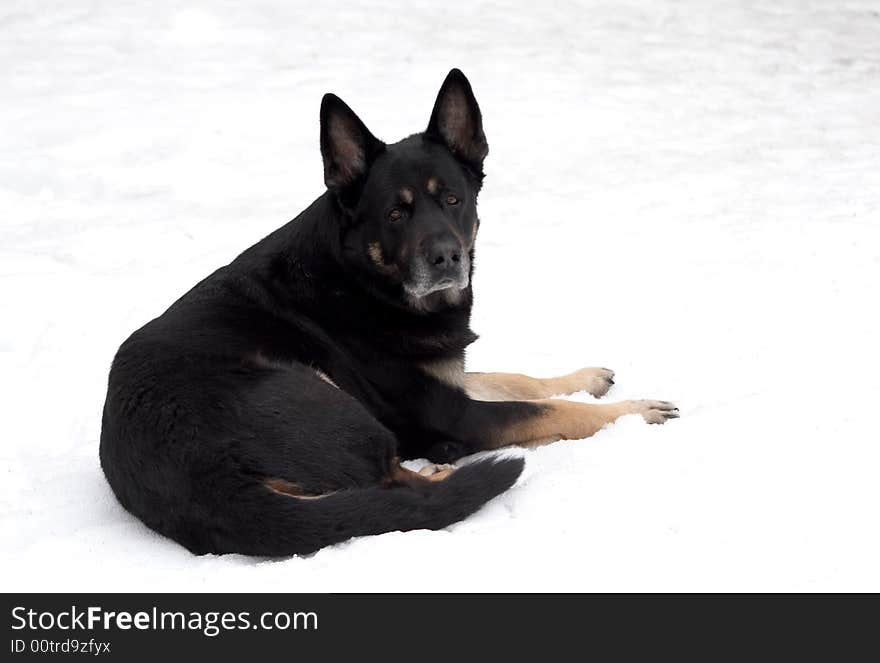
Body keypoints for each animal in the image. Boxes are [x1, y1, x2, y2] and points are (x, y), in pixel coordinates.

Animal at [99, 68, 676, 556]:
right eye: (396, 214)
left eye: (453, 200)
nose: (447, 257)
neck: (363, 280)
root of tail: (213, 490)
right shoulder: (454, 414)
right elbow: (553, 411)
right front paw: (634, 412)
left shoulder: (448, 377)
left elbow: (516, 378)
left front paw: (587, 378)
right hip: (318, 391)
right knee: (400, 492)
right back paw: (446, 474)